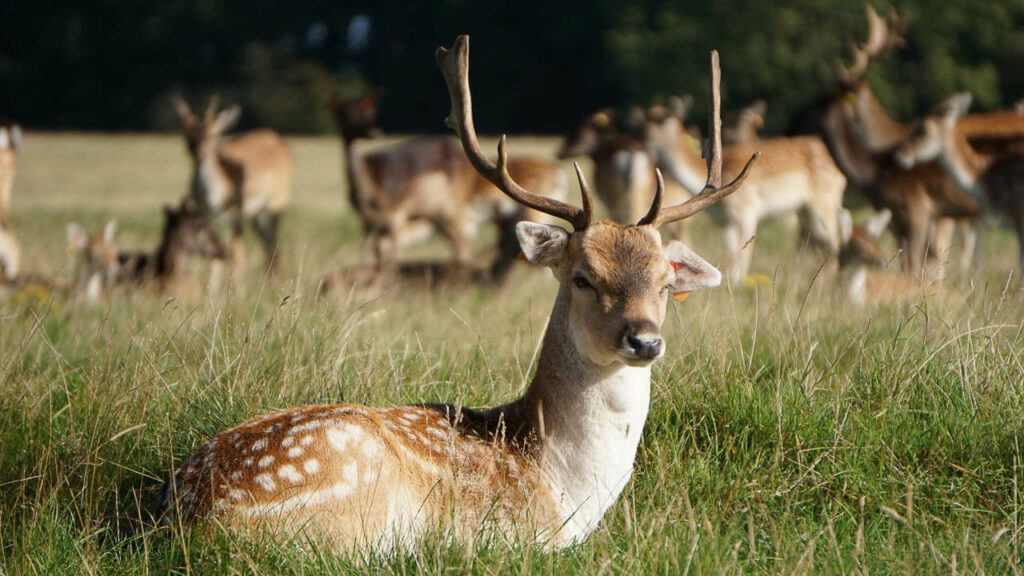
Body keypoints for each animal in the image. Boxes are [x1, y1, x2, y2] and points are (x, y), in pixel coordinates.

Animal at [173, 95, 292, 270]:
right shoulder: (208, 216)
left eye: (214, 134)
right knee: (267, 245)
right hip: (257, 214)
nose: (200, 156)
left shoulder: (236, 213)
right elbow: (215, 256)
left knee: (274, 244)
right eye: (187, 134)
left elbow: (238, 257)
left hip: (275, 204)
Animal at [327, 92, 569, 276]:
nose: (373, 132)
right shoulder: (370, 224)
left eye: (368, 112)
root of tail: (559, 173)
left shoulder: (406, 216)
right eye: (343, 114)